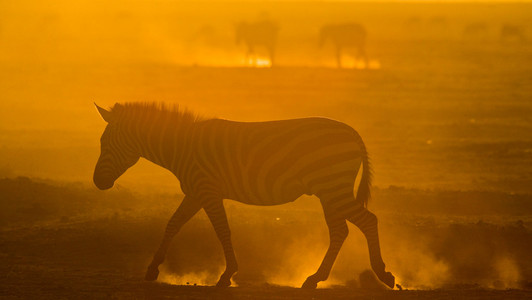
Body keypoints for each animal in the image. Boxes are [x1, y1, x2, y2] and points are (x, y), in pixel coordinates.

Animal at [93, 102, 394, 288]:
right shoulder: (195, 192)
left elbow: (222, 230)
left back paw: (382, 274)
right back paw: (316, 278)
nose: (97, 182)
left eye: (104, 143)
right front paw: (152, 269)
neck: (182, 147)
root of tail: (353, 132)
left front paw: (227, 275)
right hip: (329, 191)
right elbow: (173, 224)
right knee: (340, 231)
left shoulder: (208, 191)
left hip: (332, 188)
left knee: (367, 221)